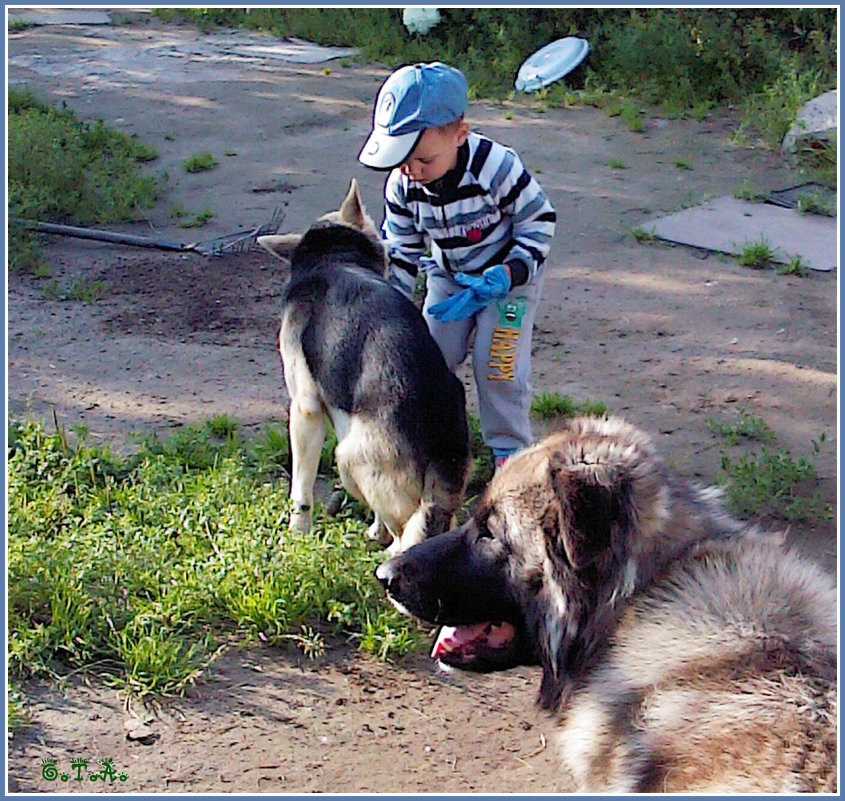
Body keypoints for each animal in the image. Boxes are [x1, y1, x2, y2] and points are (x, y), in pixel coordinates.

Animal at [258, 180, 468, 556]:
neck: (334, 259)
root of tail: (443, 451)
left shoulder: (304, 408)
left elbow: (301, 488)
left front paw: (299, 529)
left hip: (346, 459)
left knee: (405, 534)